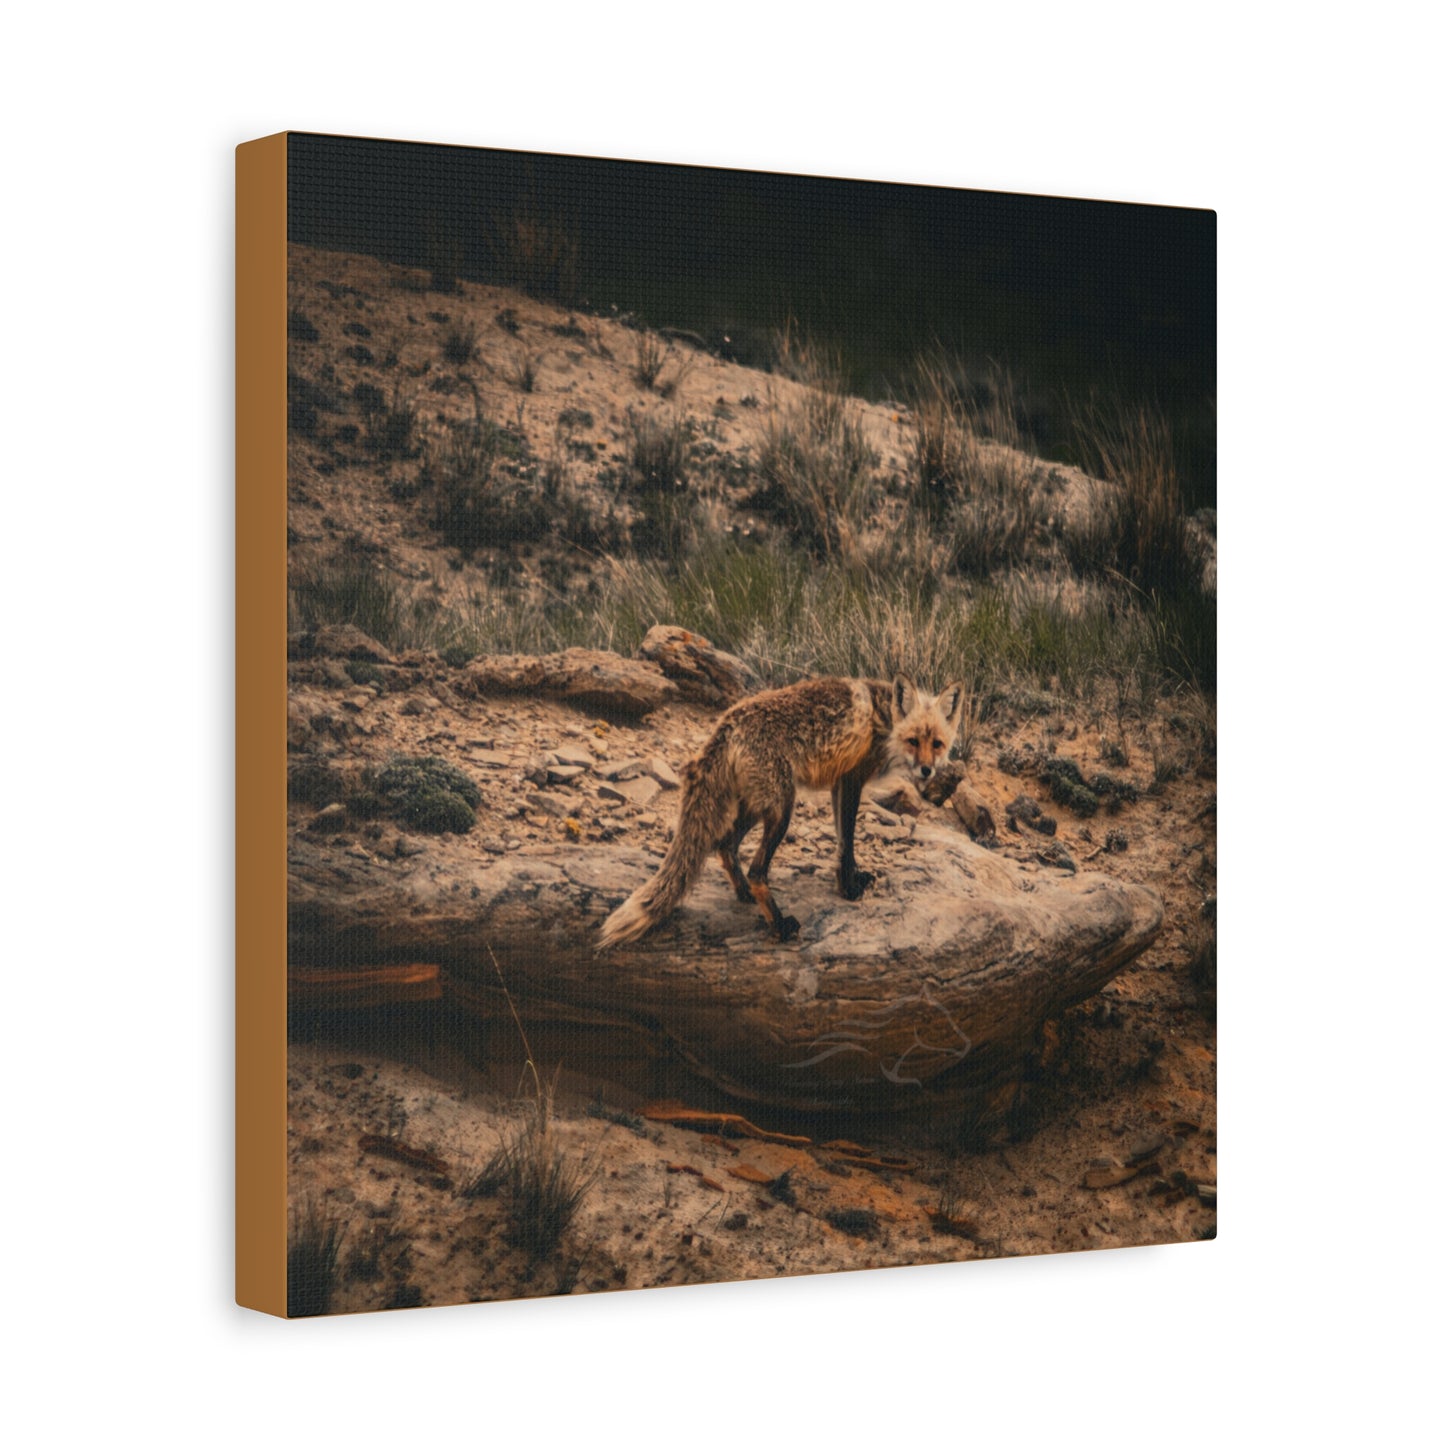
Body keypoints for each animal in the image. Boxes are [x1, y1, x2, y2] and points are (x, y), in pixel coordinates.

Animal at [597, 674, 965, 948]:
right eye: (914, 741)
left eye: (937, 744)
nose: (927, 771)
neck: (884, 721)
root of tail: (727, 724)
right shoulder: (851, 779)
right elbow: (847, 842)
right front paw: (848, 890)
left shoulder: (839, 784)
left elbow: (842, 843)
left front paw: (851, 878)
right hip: (782, 810)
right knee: (757, 870)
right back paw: (779, 925)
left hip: (756, 807)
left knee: (725, 845)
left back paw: (743, 893)